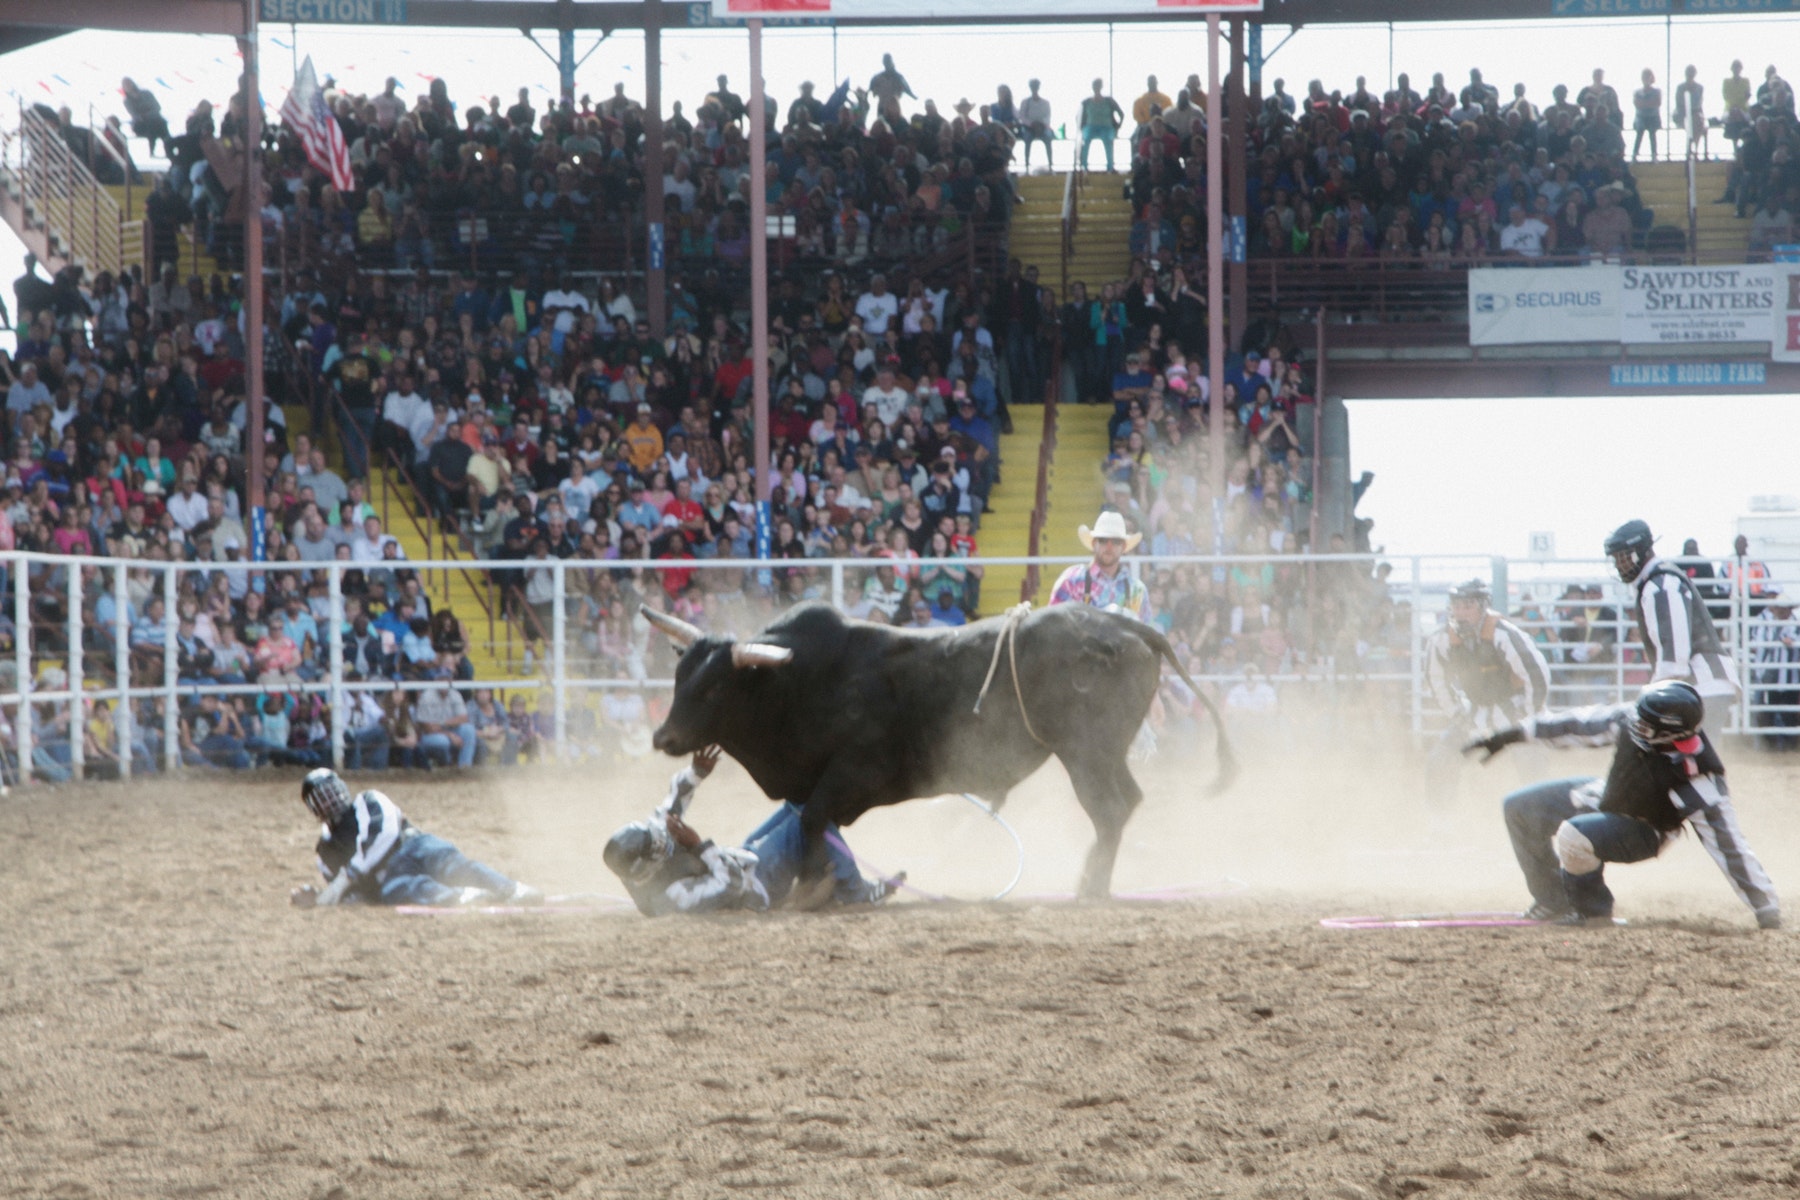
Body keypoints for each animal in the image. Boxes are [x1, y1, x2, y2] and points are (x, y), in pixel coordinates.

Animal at [637, 600, 1238, 899]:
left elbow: (812, 822)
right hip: (1103, 753)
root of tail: (1128, 627)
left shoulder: (854, 771)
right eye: (680, 675)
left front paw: (812, 889)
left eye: (714, 687)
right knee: (1125, 803)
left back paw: (1090, 887)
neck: (794, 682)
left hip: (1085, 752)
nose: (663, 738)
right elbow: (816, 822)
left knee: (1109, 809)